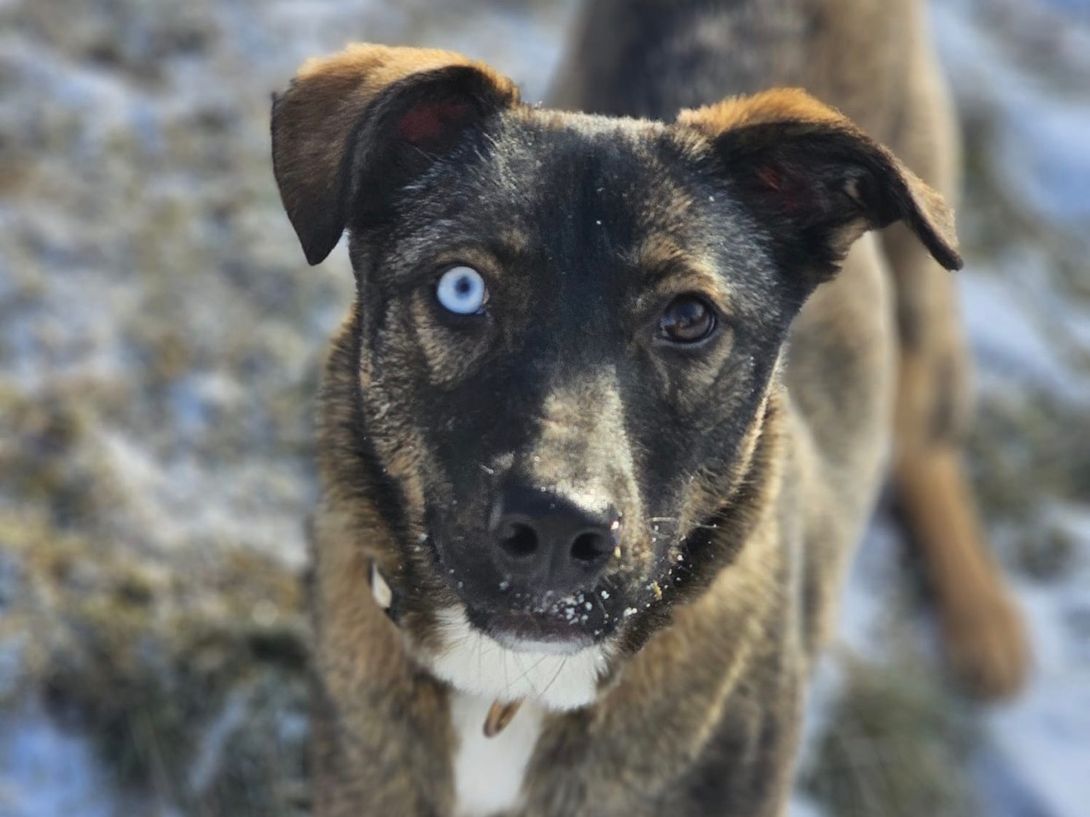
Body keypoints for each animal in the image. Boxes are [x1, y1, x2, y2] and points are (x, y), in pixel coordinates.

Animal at [270, 1, 1029, 814]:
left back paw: (985, 620)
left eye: (690, 317)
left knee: (926, 439)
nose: (555, 527)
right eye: (462, 288)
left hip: (924, 282)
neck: (509, 684)